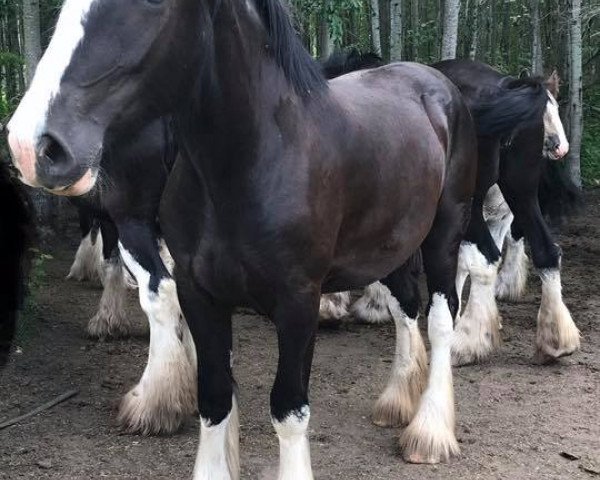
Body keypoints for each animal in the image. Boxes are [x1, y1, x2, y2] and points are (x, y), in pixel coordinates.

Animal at [7, 0, 488, 474]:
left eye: (153, 3)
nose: (33, 146)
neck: (256, 157)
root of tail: (436, 84)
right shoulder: (200, 293)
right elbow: (215, 396)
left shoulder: (298, 301)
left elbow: (289, 410)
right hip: (387, 246)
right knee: (405, 304)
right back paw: (397, 403)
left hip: (444, 233)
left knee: (441, 316)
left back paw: (429, 431)